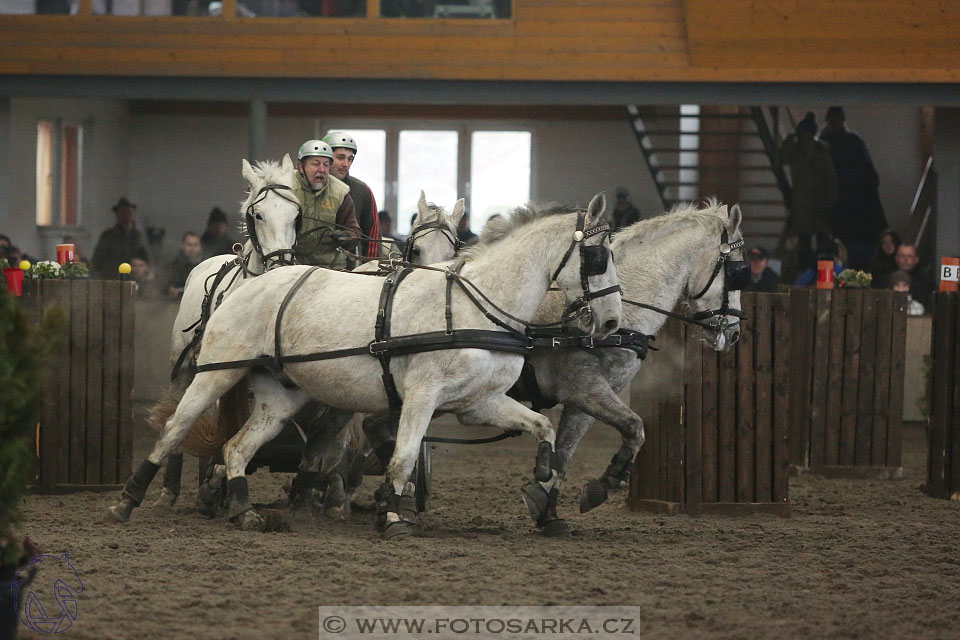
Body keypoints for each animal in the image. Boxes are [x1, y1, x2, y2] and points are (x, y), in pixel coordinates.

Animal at [109, 192, 624, 536]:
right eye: (598, 256)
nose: (613, 320)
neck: (475, 306)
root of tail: (252, 280)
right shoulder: (422, 396)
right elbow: (404, 455)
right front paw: (392, 514)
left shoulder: (479, 402)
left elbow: (544, 428)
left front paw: (542, 490)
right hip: (214, 372)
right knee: (176, 429)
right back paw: (131, 499)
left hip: (280, 394)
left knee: (238, 447)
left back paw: (244, 509)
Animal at [520, 202, 748, 532]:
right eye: (738, 271)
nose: (733, 334)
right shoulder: (583, 387)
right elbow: (635, 428)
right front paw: (604, 485)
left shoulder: (584, 400)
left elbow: (563, 454)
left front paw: (547, 512)